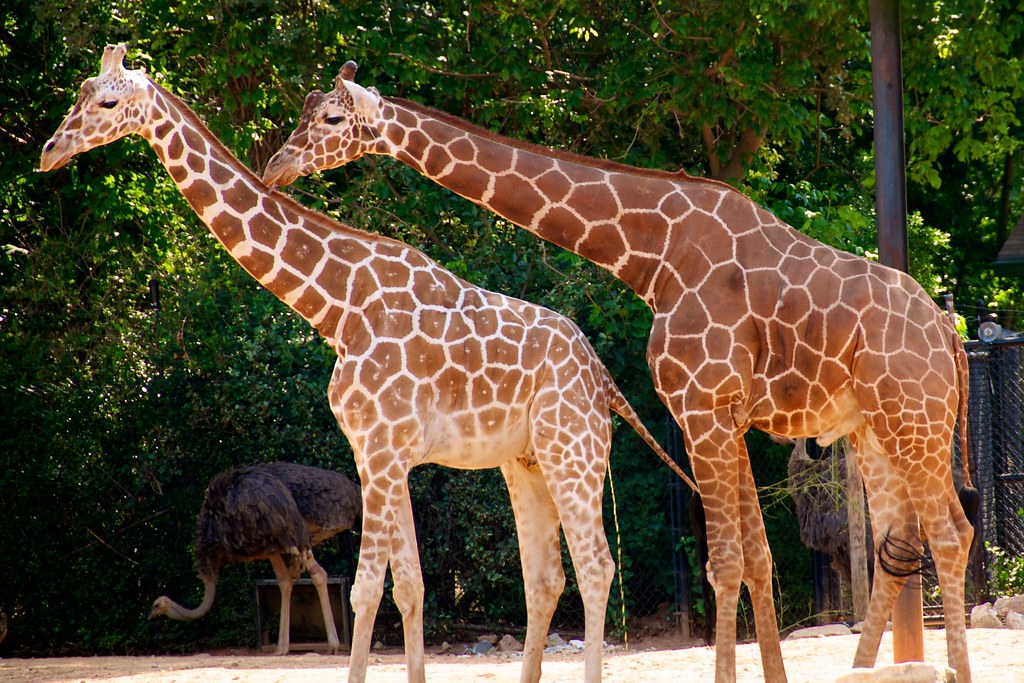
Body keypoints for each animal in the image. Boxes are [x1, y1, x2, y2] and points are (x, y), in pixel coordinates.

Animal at [40, 44, 700, 683]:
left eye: (105, 102)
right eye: (78, 92)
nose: (49, 152)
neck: (338, 307)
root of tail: (603, 376)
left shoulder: (382, 450)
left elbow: (364, 590)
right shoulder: (377, 452)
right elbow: (410, 586)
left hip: (574, 449)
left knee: (597, 566)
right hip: (526, 461)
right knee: (546, 577)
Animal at [262, 62, 979, 683]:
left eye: (330, 118)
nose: (275, 166)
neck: (652, 255)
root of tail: (951, 335)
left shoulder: (702, 408)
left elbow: (724, 562)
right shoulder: (720, 415)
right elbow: (757, 558)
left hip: (914, 420)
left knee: (951, 533)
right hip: (873, 428)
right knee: (899, 543)